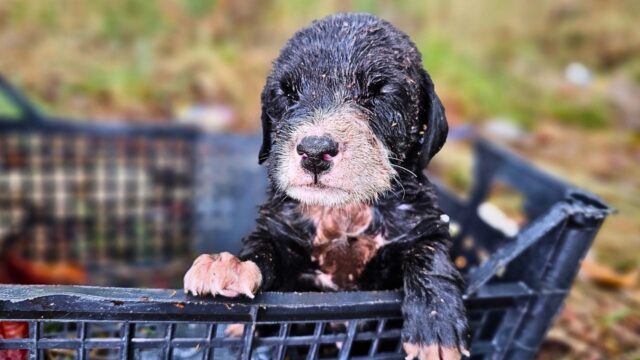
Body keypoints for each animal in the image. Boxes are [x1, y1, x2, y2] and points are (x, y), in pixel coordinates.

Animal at [185, 12, 470, 358]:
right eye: (287, 93)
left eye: (378, 92)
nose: (314, 151)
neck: (343, 212)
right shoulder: (281, 235)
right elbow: (263, 248)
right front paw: (230, 266)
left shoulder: (423, 224)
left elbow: (428, 254)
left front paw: (436, 326)